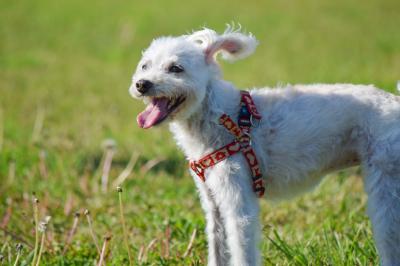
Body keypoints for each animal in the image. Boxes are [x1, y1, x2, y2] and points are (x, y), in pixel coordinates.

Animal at [129, 26, 400, 264]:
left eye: (176, 68)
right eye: (145, 66)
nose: (142, 84)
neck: (217, 115)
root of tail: (395, 102)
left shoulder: (239, 203)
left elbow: (242, 252)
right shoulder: (213, 203)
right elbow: (218, 249)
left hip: (386, 189)